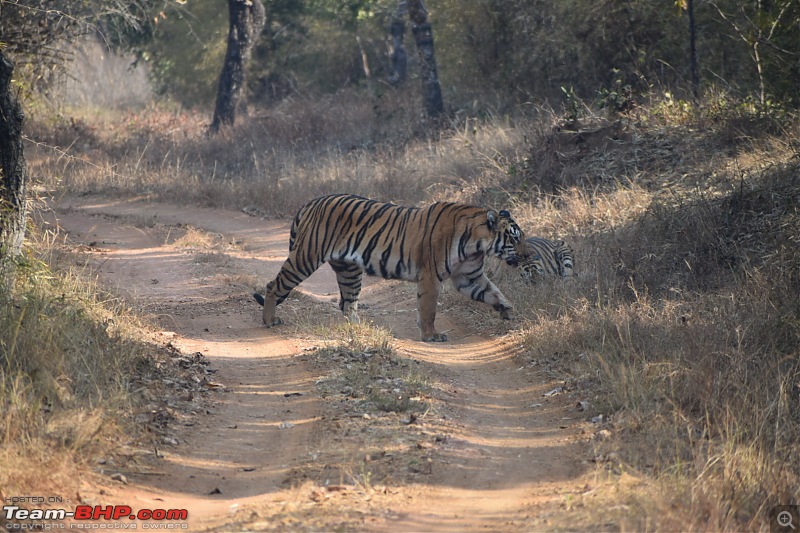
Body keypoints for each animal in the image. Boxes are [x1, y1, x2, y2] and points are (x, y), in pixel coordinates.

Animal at [253, 193, 528, 342]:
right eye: (514, 239)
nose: (526, 255)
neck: (477, 244)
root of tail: (310, 203)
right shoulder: (430, 277)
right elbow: (428, 310)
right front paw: (431, 336)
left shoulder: (469, 276)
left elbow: (493, 292)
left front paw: (508, 311)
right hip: (306, 257)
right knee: (274, 285)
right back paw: (270, 320)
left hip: (349, 270)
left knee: (347, 303)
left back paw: (359, 326)